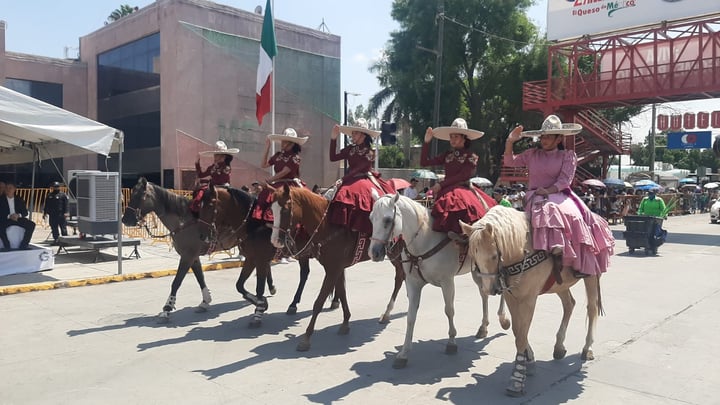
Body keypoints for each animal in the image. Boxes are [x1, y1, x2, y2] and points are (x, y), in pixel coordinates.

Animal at [270, 183, 408, 350]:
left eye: (285, 209)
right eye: (271, 209)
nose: (275, 240)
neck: (327, 226)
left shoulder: (333, 269)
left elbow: (319, 301)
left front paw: (306, 338)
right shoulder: (336, 268)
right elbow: (342, 292)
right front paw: (345, 322)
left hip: (397, 252)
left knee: (400, 276)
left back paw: (389, 312)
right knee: (401, 276)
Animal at [368, 193, 510, 370]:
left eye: (387, 220)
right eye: (371, 218)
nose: (374, 252)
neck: (425, 240)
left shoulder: (447, 282)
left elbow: (449, 310)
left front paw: (451, 343)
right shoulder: (413, 284)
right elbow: (411, 317)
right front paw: (404, 353)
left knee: (501, 288)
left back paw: (503, 319)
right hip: (479, 270)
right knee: (484, 294)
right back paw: (483, 327)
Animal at [462, 207, 600, 396]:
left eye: (494, 256)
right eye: (473, 256)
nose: (490, 289)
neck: (520, 250)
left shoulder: (528, 299)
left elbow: (521, 335)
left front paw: (518, 377)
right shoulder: (511, 296)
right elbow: (517, 330)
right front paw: (529, 360)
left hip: (591, 276)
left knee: (592, 309)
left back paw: (588, 348)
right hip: (560, 284)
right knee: (569, 304)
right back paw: (559, 346)